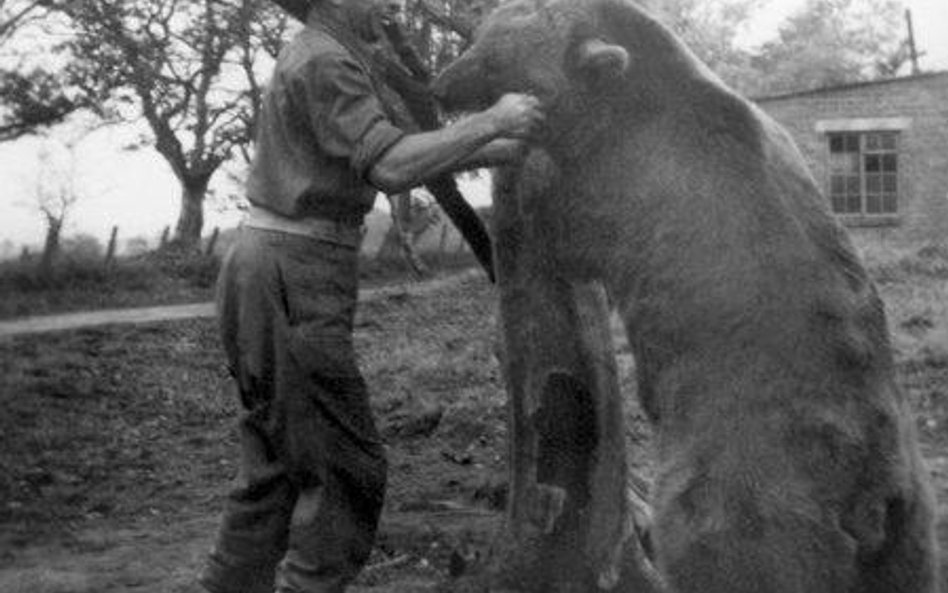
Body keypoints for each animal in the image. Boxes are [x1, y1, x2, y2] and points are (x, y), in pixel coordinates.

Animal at [436, 1, 940, 592]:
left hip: (748, 491)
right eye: (478, 39)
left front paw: (517, 175)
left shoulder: (619, 181)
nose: (441, 84)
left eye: (491, 61)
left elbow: (561, 226)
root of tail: (867, 498)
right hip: (911, 522)